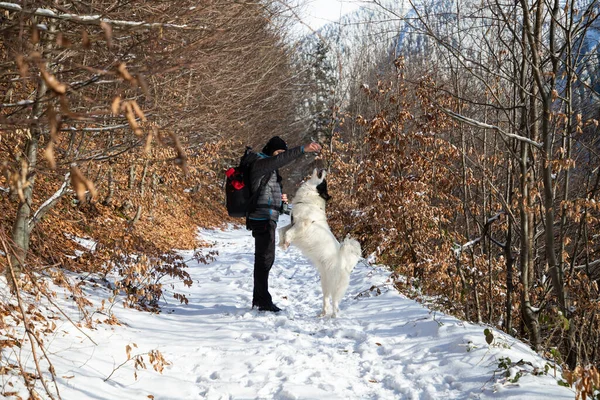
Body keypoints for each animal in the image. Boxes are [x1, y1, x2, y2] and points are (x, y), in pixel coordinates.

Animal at [278, 167, 360, 318]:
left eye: (324, 184)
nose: (324, 169)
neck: (308, 201)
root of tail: (345, 262)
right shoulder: (293, 223)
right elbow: (281, 230)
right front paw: (282, 244)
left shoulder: (301, 225)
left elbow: (288, 233)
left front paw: (286, 243)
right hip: (325, 284)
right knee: (326, 299)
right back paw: (322, 314)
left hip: (334, 285)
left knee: (335, 301)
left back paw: (334, 316)